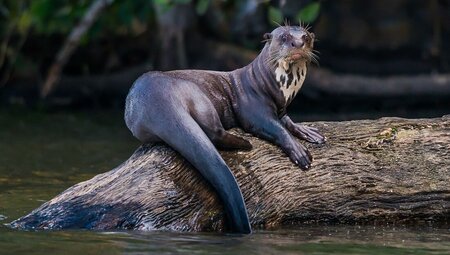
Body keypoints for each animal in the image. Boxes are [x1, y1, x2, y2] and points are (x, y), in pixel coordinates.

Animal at [125, 24, 326, 234]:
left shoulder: (281, 108)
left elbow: (287, 120)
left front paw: (308, 132)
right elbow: (276, 128)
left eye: (305, 36)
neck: (272, 86)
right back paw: (245, 143)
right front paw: (299, 151)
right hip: (198, 96)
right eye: (284, 37)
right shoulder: (253, 109)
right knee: (214, 132)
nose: (298, 43)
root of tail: (156, 98)